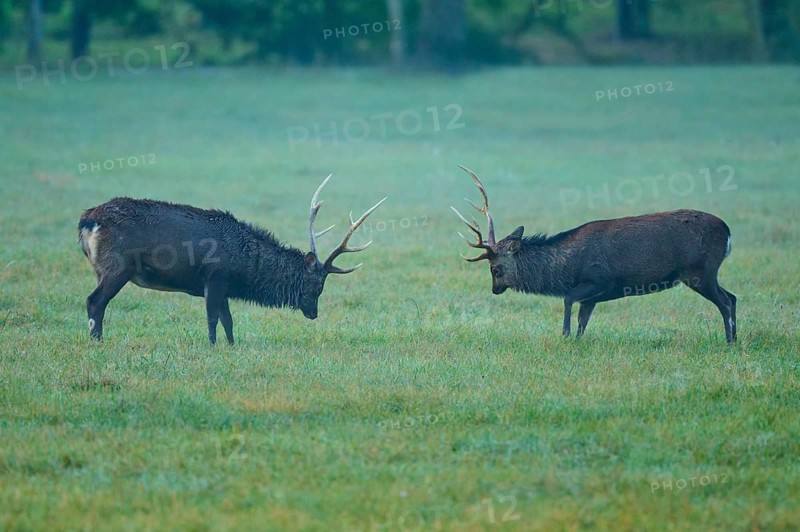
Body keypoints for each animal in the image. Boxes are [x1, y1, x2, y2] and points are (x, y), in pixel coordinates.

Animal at [78, 175, 386, 345]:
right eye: (319, 286)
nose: (313, 314)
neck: (245, 268)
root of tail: (87, 220)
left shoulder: (224, 286)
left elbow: (228, 320)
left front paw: (231, 346)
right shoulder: (215, 277)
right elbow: (213, 318)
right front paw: (213, 346)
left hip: (103, 268)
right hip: (117, 265)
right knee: (95, 301)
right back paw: (98, 341)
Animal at [451, 166, 737, 344]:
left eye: (495, 269)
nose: (495, 289)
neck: (568, 267)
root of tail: (728, 232)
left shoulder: (600, 279)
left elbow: (568, 300)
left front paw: (564, 335)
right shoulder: (593, 296)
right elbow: (582, 320)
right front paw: (576, 339)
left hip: (700, 270)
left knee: (725, 301)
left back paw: (730, 341)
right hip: (706, 273)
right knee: (732, 297)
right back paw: (735, 337)